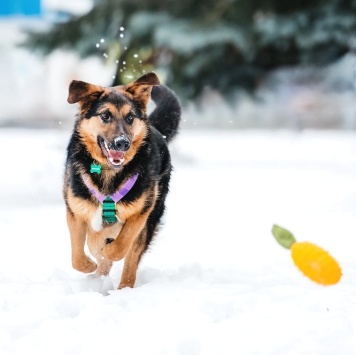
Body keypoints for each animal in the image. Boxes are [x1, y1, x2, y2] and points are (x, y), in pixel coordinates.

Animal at [63, 71, 181, 290]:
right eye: (105, 115)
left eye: (130, 117)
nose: (122, 143)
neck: (110, 173)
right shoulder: (76, 211)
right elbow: (77, 257)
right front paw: (90, 264)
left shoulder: (140, 213)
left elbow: (120, 246)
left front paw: (108, 253)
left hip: (151, 219)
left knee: (130, 262)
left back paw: (122, 288)